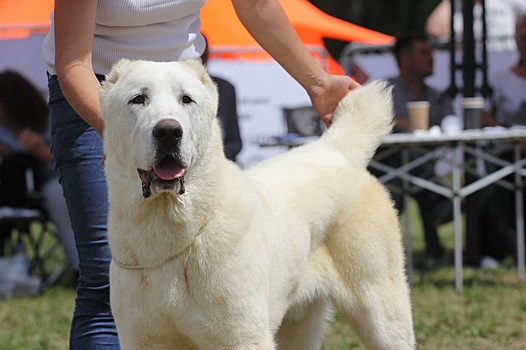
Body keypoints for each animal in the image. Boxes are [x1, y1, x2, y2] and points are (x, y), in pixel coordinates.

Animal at [101, 58, 416, 348]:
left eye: (186, 99)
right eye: (138, 99)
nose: (168, 131)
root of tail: (334, 149)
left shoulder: (243, 337)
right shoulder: (141, 339)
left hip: (382, 312)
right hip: (299, 325)